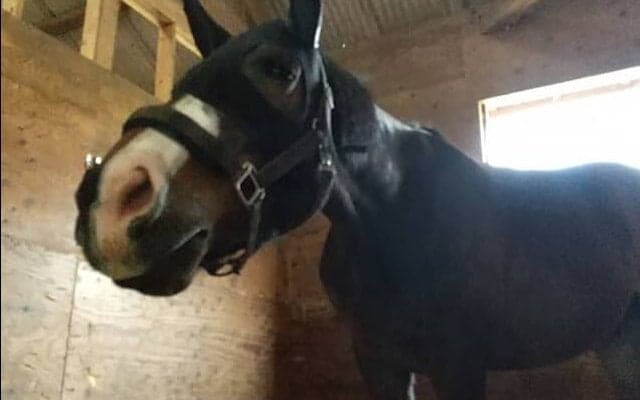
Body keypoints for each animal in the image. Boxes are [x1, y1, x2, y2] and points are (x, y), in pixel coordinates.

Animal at [74, 1, 640, 399]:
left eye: (280, 72)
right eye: (185, 79)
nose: (114, 200)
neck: (390, 222)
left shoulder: (459, 365)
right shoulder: (379, 362)